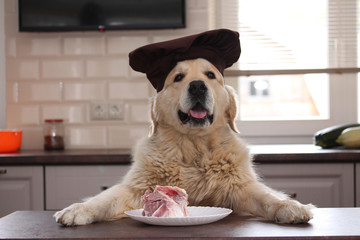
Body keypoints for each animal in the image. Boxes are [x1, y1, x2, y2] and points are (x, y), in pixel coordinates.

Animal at [54, 57, 316, 226]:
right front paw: (78, 210)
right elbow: (105, 199)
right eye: (178, 77)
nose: (198, 86)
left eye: (210, 75)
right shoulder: (136, 187)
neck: (193, 148)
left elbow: (268, 197)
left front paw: (291, 206)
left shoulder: (240, 186)